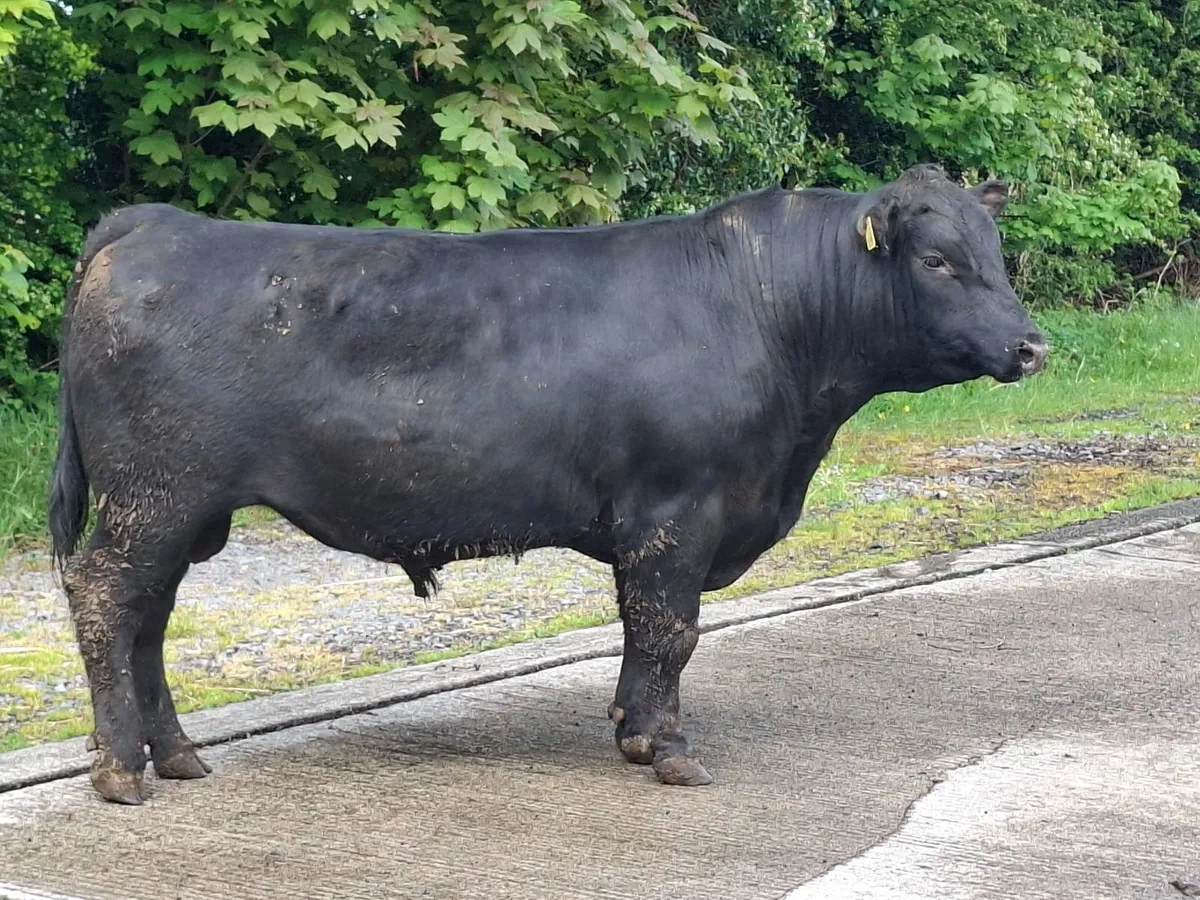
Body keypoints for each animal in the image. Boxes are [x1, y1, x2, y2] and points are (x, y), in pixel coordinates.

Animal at [48, 163, 1047, 805]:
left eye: (996, 253)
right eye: (937, 260)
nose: (1031, 345)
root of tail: (155, 223)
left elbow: (646, 634)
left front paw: (634, 731)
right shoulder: (677, 514)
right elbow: (671, 630)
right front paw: (669, 750)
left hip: (182, 511)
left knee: (147, 619)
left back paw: (175, 755)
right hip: (154, 497)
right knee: (105, 599)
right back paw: (121, 770)